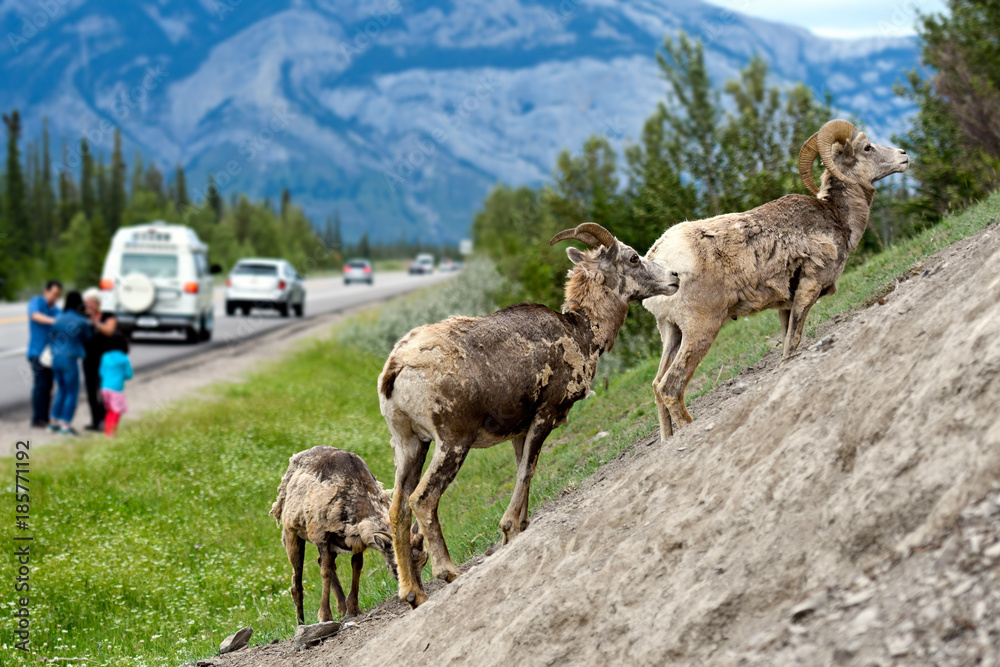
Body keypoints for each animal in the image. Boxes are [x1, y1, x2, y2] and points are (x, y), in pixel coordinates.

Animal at [269, 445, 427, 624]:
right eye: (396, 566)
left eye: (424, 561)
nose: (419, 595)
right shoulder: (322, 535)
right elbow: (325, 572)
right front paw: (324, 616)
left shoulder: (356, 539)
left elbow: (356, 566)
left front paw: (352, 608)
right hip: (292, 533)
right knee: (297, 581)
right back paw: (301, 621)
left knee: (323, 562)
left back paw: (342, 607)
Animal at [378, 222, 680, 607]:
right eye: (633, 258)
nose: (674, 277)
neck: (581, 332)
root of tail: (397, 367)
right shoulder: (544, 416)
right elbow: (525, 472)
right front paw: (508, 530)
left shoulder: (519, 431)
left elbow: (526, 471)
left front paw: (519, 529)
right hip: (452, 442)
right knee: (423, 499)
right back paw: (449, 573)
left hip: (410, 445)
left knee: (398, 508)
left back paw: (414, 594)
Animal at [643, 119, 910, 441]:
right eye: (868, 147)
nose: (904, 155)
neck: (835, 217)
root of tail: (658, 258)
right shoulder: (808, 288)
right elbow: (794, 340)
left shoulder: (786, 305)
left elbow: (786, 348)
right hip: (700, 329)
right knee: (671, 387)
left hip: (672, 333)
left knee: (657, 386)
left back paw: (668, 439)